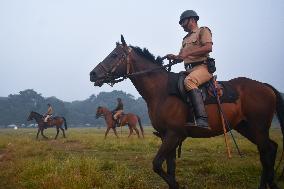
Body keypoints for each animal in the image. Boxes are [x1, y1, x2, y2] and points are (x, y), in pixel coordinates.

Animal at [90, 35, 284, 189]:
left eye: (114, 55)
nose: (93, 74)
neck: (161, 91)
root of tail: (265, 86)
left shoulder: (173, 135)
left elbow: (157, 165)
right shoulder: (166, 136)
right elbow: (170, 167)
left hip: (258, 128)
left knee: (266, 152)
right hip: (246, 127)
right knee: (269, 149)